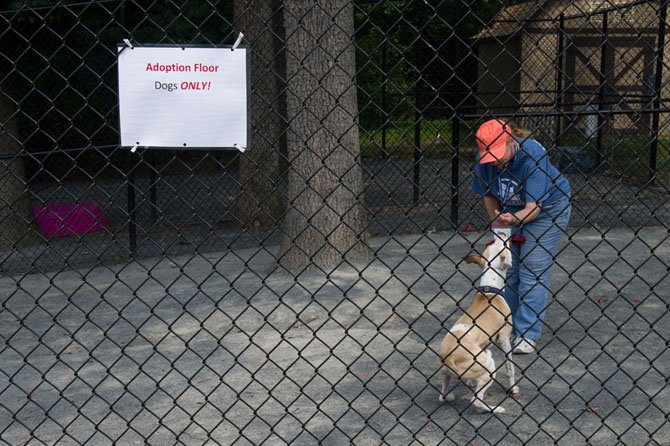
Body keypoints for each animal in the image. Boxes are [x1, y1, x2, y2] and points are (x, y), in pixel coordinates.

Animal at [440, 239, 520, 412]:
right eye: (504, 246)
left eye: (491, 244)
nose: (501, 235)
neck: (490, 290)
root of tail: (449, 357)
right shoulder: (504, 339)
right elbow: (510, 368)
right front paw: (514, 388)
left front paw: (471, 382)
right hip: (489, 367)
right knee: (476, 400)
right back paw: (496, 409)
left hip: (448, 374)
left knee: (442, 396)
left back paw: (450, 396)